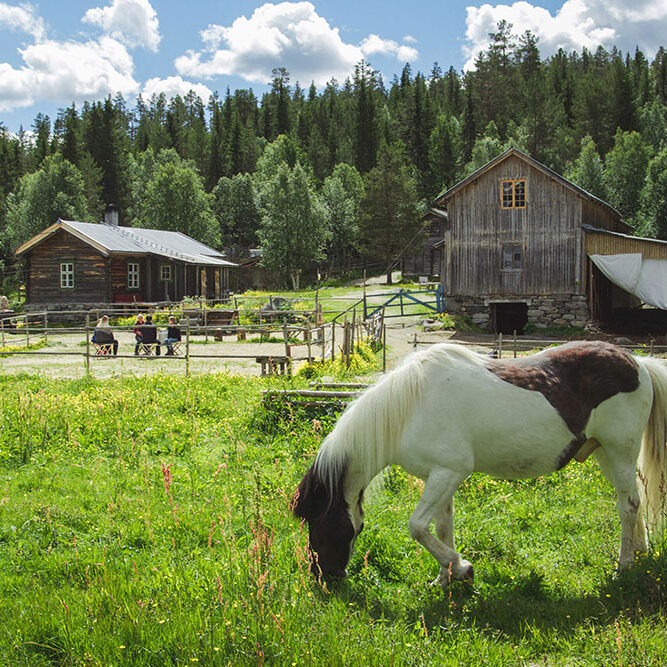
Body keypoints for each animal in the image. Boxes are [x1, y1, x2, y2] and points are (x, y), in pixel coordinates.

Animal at [292, 341, 667, 585]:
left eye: (317, 521)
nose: (325, 576)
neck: (409, 408)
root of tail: (637, 362)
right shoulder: (439, 476)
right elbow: (441, 527)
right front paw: (444, 580)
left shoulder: (449, 473)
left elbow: (418, 527)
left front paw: (461, 568)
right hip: (604, 452)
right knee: (633, 500)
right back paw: (640, 554)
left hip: (619, 450)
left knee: (628, 506)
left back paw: (623, 566)